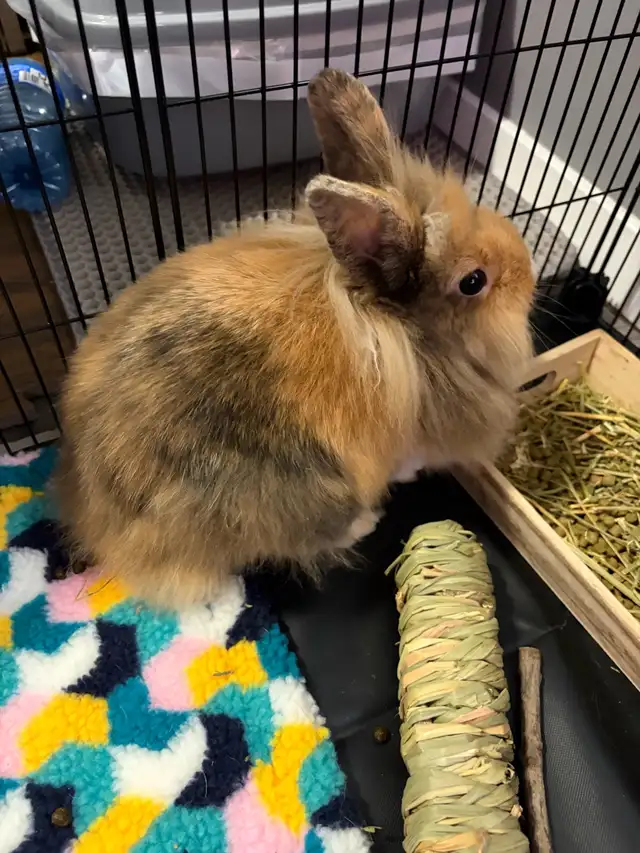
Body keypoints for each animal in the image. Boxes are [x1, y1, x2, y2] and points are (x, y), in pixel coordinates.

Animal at [55, 68, 535, 609]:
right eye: (474, 281)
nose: (529, 268)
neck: (412, 334)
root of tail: (99, 522)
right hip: (306, 491)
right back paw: (366, 521)